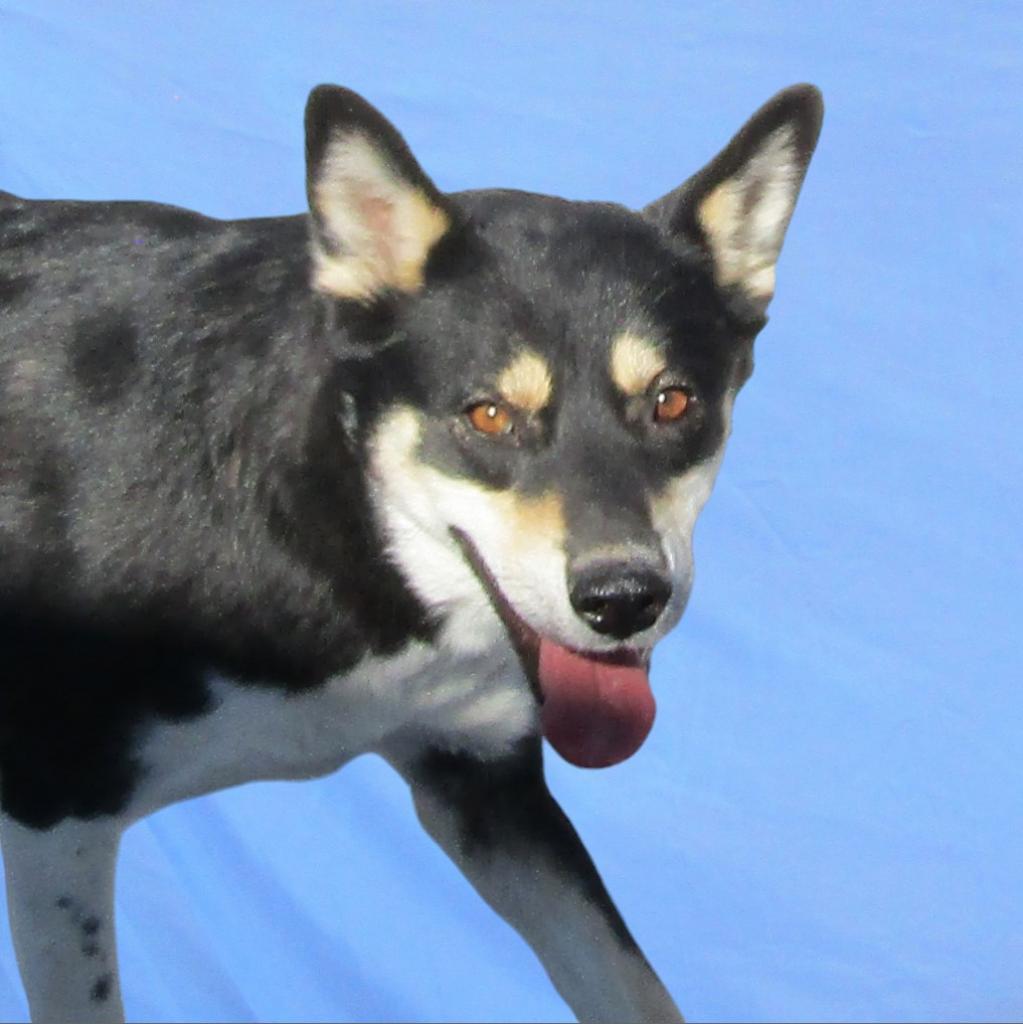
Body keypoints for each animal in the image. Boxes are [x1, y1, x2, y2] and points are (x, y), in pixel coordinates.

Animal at [0, 83, 819, 1019]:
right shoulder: (55, 818)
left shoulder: (484, 782)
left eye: (673, 402)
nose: (623, 600)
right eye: (488, 415)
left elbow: (630, 987)